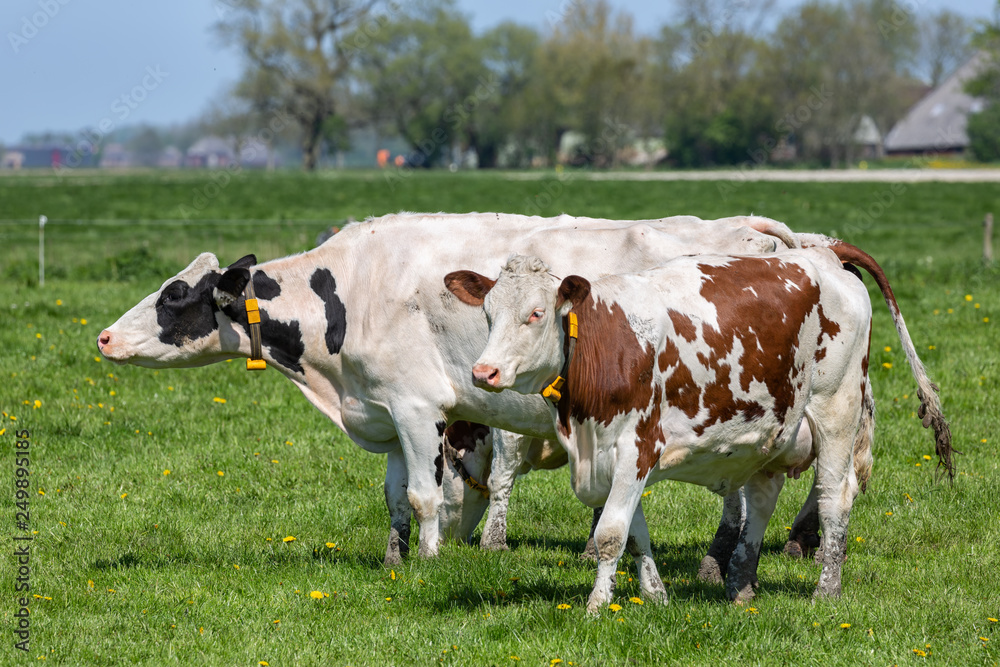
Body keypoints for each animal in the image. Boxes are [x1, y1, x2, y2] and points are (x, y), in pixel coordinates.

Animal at [94, 213, 800, 564]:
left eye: (173, 296)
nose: (102, 337)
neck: (352, 289)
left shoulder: (416, 407)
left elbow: (426, 496)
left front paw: (429, 563)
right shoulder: (384, 411)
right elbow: (396, 498)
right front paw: (394, 559)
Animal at [448, 241, 952, 612]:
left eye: (535, 314)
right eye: (488, 314)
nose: (484, 372)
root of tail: (822, 252)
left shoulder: (637, 446)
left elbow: (611, 532)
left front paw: (596, 606)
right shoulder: (615, 455)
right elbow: (635, 532)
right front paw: (656, 595)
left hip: (836, 409)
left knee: (834, 497)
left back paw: (825, 590)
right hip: (772, 428)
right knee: (762, 500)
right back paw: (740, 584)